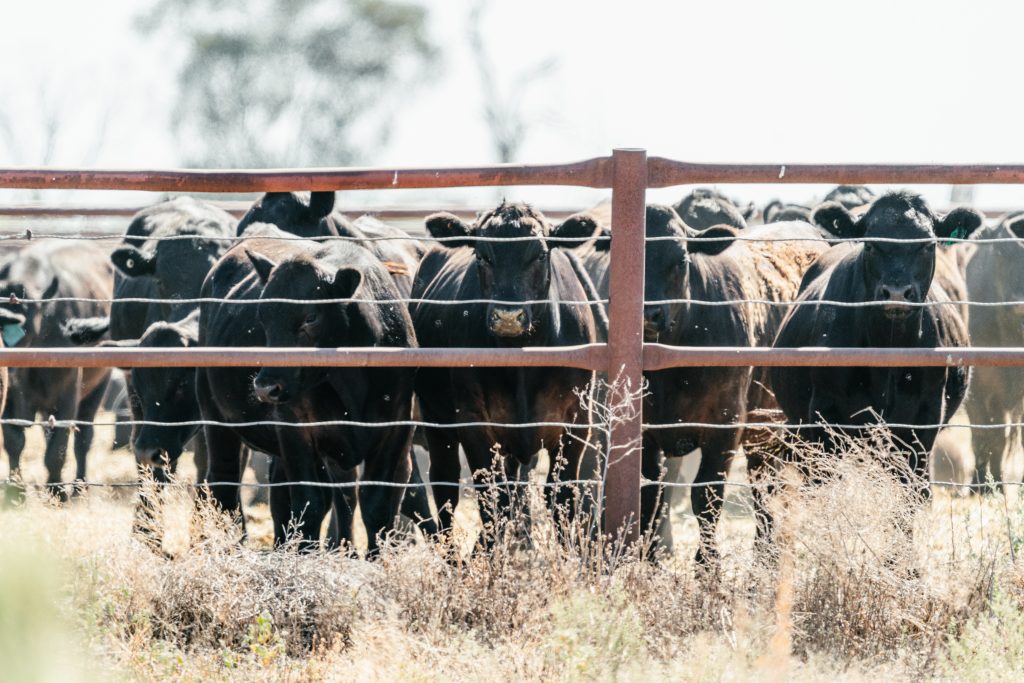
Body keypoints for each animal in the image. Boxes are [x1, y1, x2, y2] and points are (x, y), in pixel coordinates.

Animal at [0, 240, 113, 500]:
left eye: (21, 331)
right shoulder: (10, 397)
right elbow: (13, 441)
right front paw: (15, 489)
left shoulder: (67, 395)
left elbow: (57, 449)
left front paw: (57, 490)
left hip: (97, 388)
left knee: (83, 439)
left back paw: (79, 486)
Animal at [199, 223, 421, 555]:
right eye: (262, 317)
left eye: (310, 317)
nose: (266, 387)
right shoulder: (297, 430)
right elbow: (310, 502)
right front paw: (306, 554)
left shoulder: (396, 428)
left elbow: (376, 504)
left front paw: (374, 558)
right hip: (216, 417)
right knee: (224, 482)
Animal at [411, 202, 606, 546]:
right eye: (481, 255)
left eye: (539, 254)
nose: (508, 317)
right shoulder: (474, 423)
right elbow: (493, 501)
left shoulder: (576, 422)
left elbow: (562, 497)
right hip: (438, 420)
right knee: (446, 486)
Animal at [770, 192, 983, 526]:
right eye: (870, 244)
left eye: (928, 244)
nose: (896, 292)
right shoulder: (823, 419)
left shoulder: (922, 425)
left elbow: (908, 503)